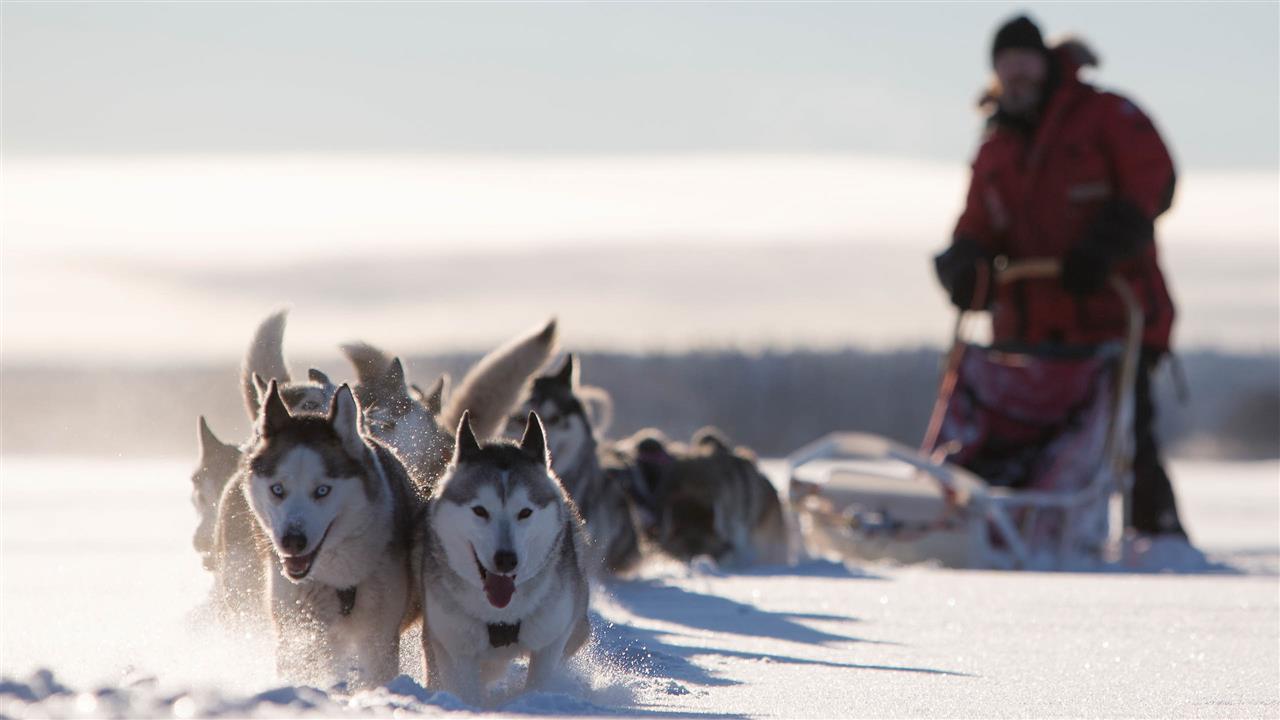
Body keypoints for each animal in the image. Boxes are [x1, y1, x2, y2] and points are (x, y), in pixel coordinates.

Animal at [227, 379, 417, 686]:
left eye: (322, 490)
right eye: (277, 489)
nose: (292, 541)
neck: (339, 578)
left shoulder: (377, 637)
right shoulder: (299, 632)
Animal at [422, 409, 596, 702]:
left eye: (525, 512)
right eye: (480, 510)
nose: (506, 559)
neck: (501, 616)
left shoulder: (551, 639)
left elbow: (539, 680)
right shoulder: (455, 646)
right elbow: (464, 690)